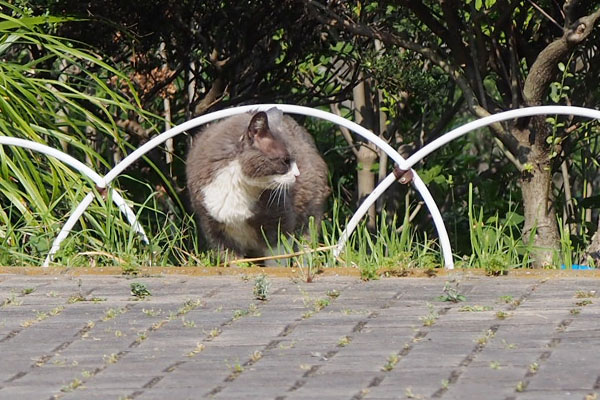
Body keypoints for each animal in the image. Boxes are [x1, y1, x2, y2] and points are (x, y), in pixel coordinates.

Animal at [185, 108, 330, 264]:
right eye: (285, 160)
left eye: (295, 158)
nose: (298, 174)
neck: (237, 185)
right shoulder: (214, 229)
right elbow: (233, 261)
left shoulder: (279, 222)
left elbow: (277, 258)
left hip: (311, 212)